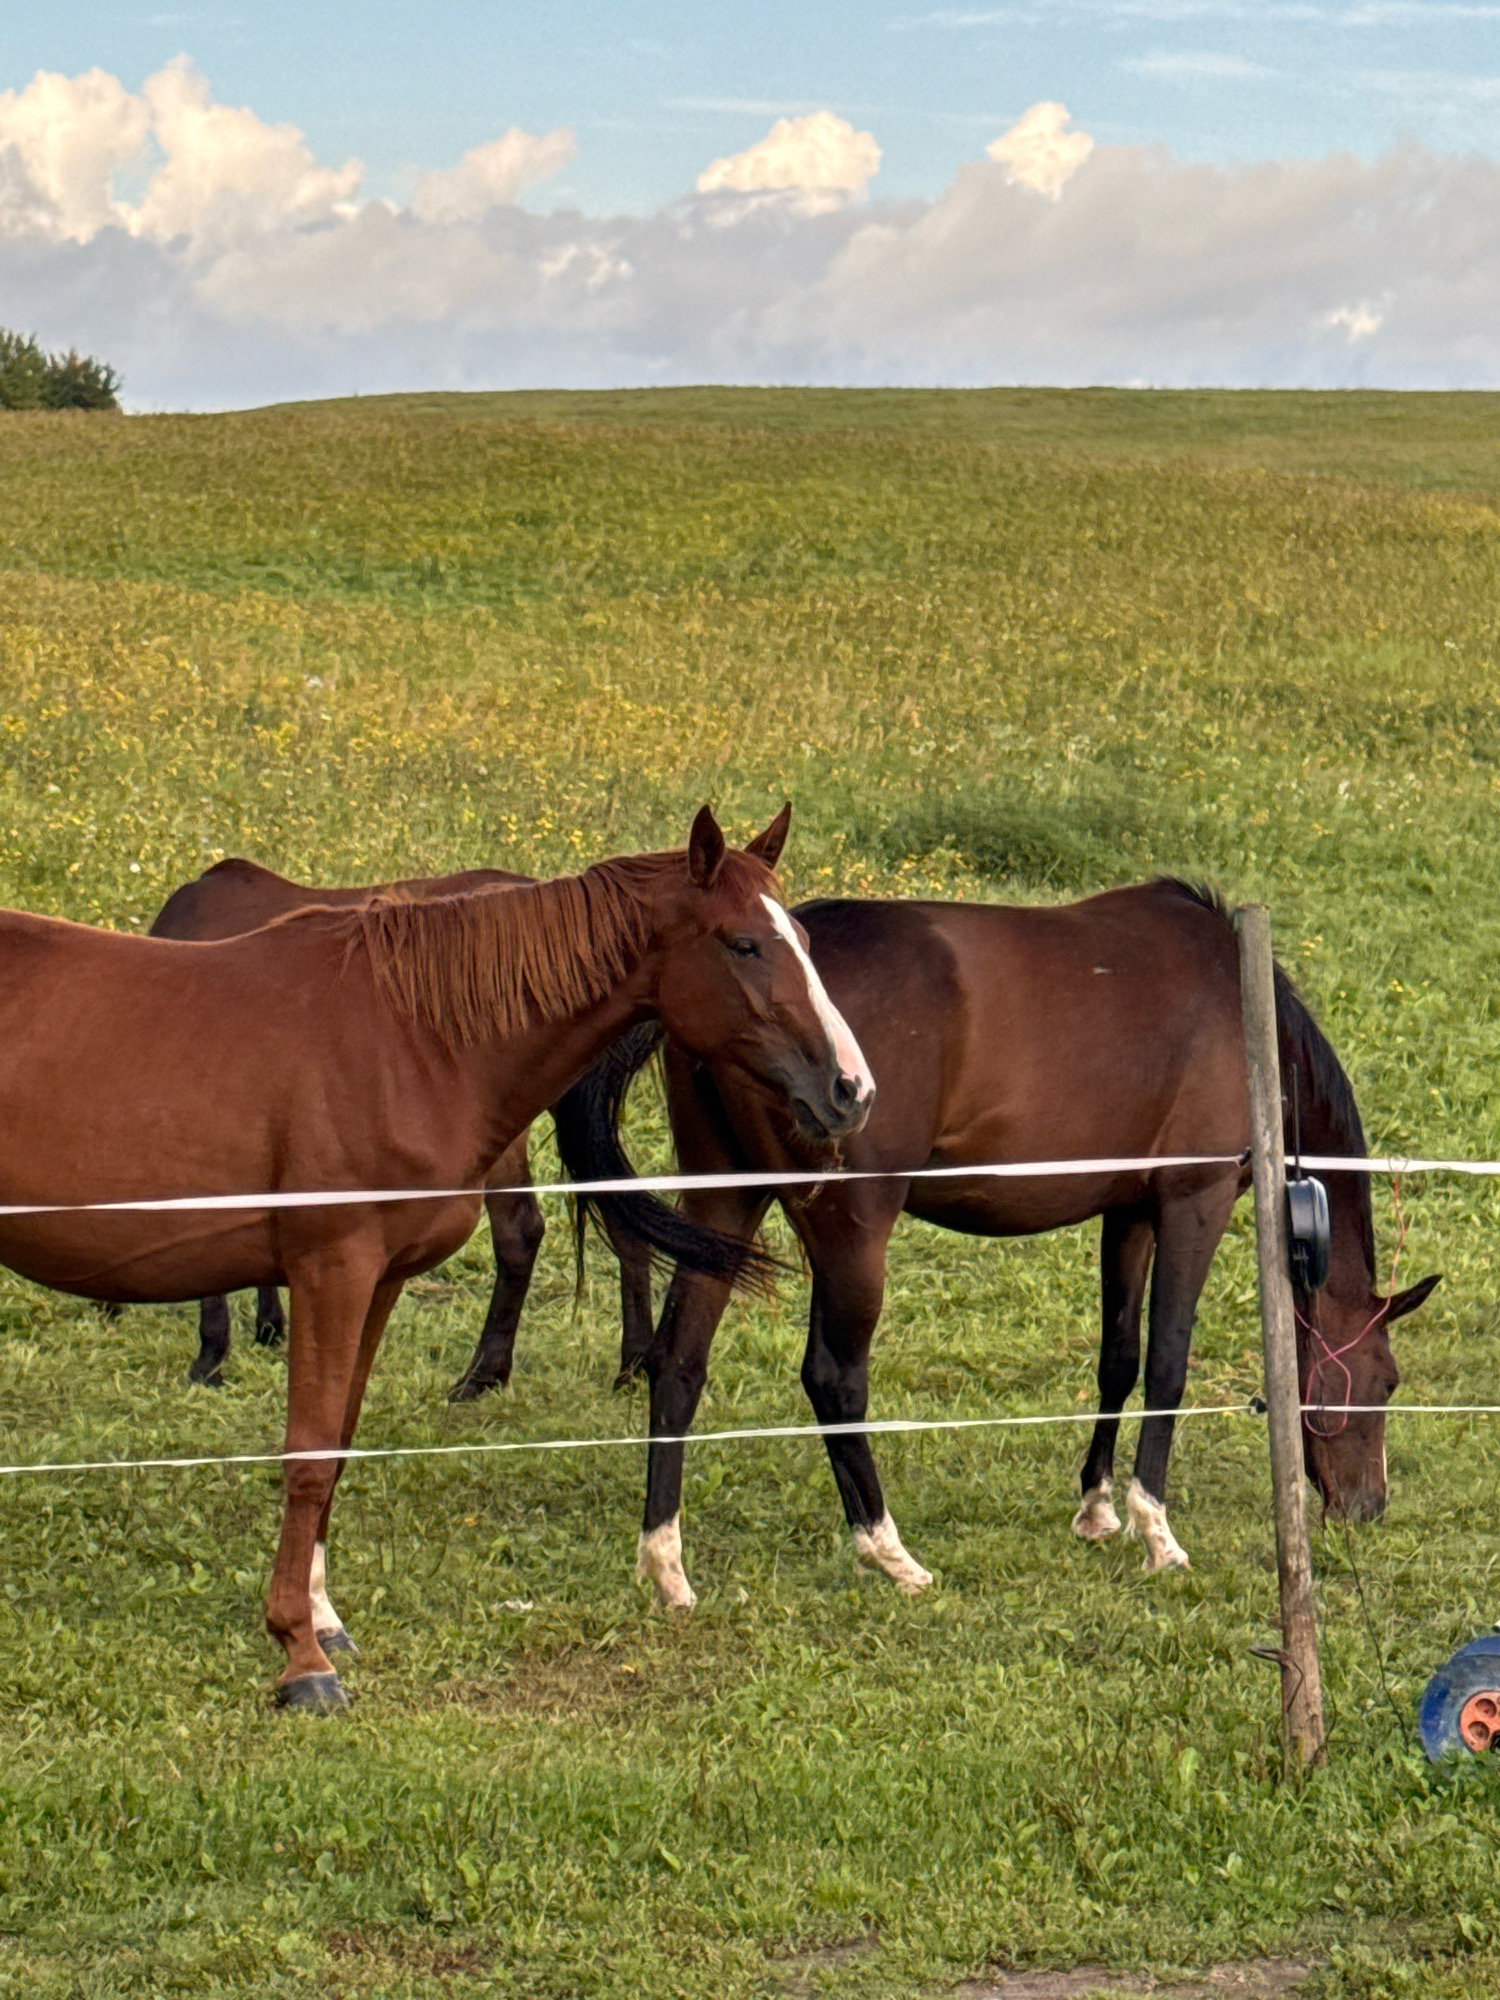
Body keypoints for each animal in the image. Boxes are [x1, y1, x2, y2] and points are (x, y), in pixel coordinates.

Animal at [146, 858, 657, 1397]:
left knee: (520, 1232)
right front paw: (266, 1325)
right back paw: (634, 1363)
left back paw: (484, 1372)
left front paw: (210, 1355)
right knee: (625, 1220)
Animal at [562, 880, 1437, 1608]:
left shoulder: (1129, 1210)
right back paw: (889, 1552)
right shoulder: (1195, 1200)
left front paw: (1096, 1508)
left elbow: (1118, 1356)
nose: (1369, 1507)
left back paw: (666, 1564)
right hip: (852, 1230)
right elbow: (1167, 1361)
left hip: (723, 1209)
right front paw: (1156, 1532)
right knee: (833, 1379)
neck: (1239, 1011)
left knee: (679, 1364)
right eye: (1385, 1381)